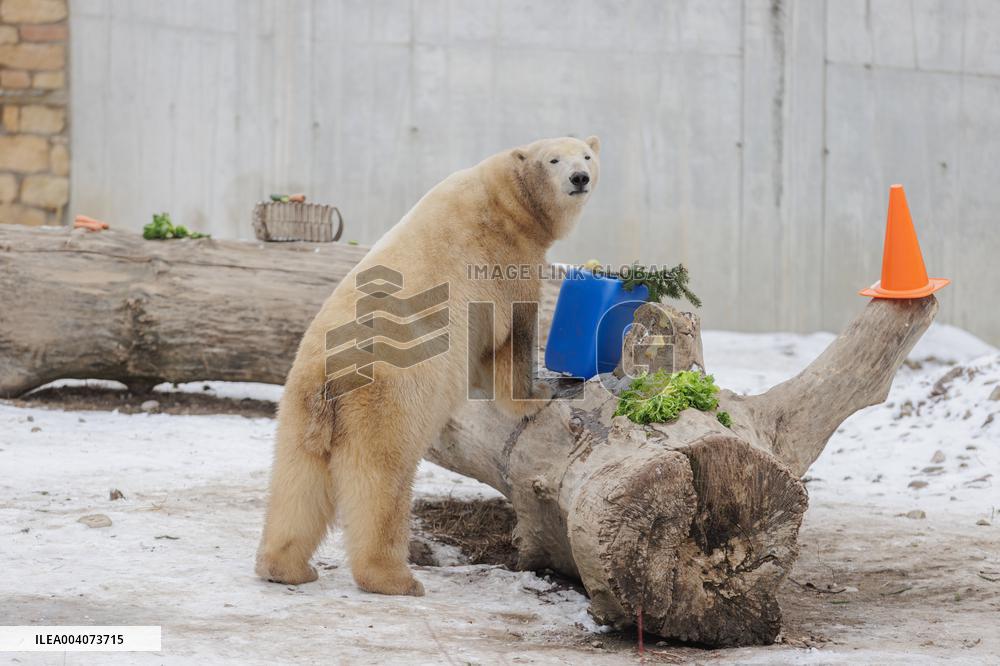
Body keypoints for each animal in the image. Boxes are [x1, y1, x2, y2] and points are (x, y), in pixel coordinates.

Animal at [255, 135, 601, 596]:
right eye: (554, 160)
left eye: (587, 155)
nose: (579, 178)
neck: (506, 198)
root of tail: (327, 374)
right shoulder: (503, 261)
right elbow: (512, 334)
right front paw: (538, 394)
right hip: (388, 397)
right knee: (382, 478)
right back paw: (395, 578)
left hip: (299, 406)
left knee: (298, 479)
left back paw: (286, 567)